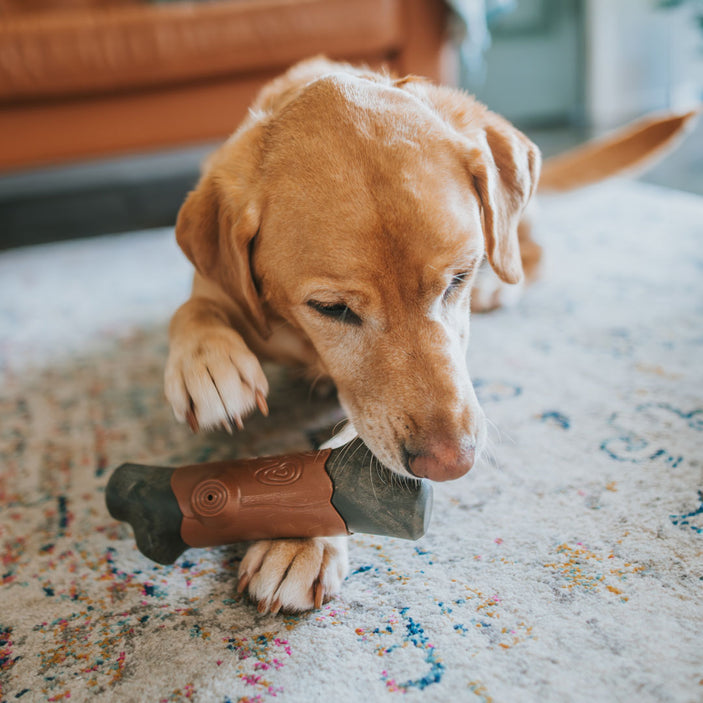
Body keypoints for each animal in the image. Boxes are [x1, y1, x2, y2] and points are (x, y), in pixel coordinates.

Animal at [165, 57, 700, 612]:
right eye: (330, 308)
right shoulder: (216, 284)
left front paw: (301, 536)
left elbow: (343, 447)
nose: (452, 464)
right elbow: (192, 309)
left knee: (527, 252)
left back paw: (501, 287)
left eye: (459, 278)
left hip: (514, 237)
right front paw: (208, 364)